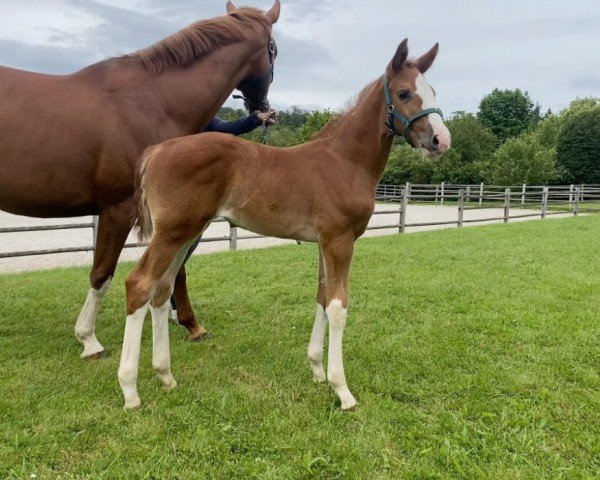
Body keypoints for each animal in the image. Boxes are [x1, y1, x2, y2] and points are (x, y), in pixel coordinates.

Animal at [119, 39, 450, 410]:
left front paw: (317, 369)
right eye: (405, 92)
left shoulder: (325, 241)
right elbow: (338, 306)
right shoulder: (340, 240)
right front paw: (342, 390)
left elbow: (322, 297)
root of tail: (156, 152)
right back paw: (130, 390)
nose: (441, 141)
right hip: (173, 233)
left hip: (185, 233)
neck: (345, 161)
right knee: (139, 285)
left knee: (162, 291)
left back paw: (165, 376)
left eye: (432, 90)